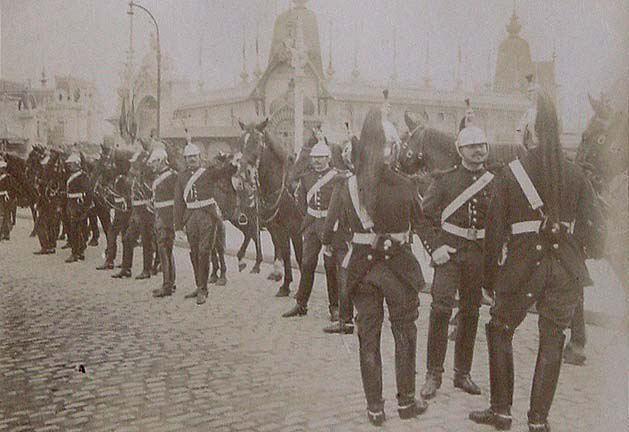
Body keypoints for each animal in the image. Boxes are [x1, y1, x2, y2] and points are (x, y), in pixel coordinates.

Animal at [237, 120, 302, 296]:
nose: (243, 174)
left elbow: (299, 256)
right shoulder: (278, 227)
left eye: (257, 142)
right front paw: (285, 285)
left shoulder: (295, 228)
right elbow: (285, 252)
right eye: (241, 142)